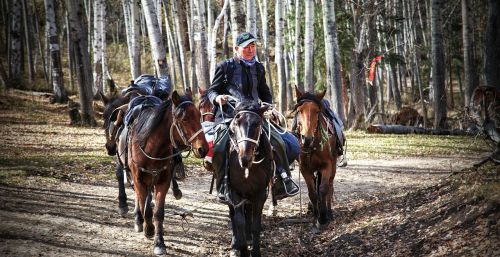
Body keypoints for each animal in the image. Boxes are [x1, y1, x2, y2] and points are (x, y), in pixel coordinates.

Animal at [129, 90, 209, 254]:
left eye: (199, 115)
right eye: (184, 118)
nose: (203, 149)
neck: (151, 149)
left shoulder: (162, 182)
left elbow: (158, 212)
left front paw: (159, 242)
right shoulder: (139, 180)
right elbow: (146, 208)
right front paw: (148, 229)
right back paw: (139, 220)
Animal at [292, 86, 340, 228]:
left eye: (317, 111)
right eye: (299, 110)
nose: (307, 139)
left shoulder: (327, 165)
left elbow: (323, 189)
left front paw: (323, 217)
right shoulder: (305, 169)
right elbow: (312, 192)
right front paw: (315, 217)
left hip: (333, 166)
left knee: (330, 185)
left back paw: (329, 212)